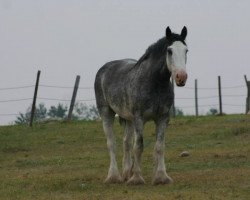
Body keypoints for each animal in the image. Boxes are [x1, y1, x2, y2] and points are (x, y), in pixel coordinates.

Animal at [94, 26, 188, 184]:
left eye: (186, 50)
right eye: (169, 51)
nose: (181, 77)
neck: (154, 83)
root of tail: (103, 69)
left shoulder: (163, 118)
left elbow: (159, 146)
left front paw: (161, 177)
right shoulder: (139, 118)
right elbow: (139, 146)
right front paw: (137, 178)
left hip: (129, 119)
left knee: (126, 142)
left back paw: (126, 174)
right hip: (106, 112)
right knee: (111, 143)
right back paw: (114, 177)